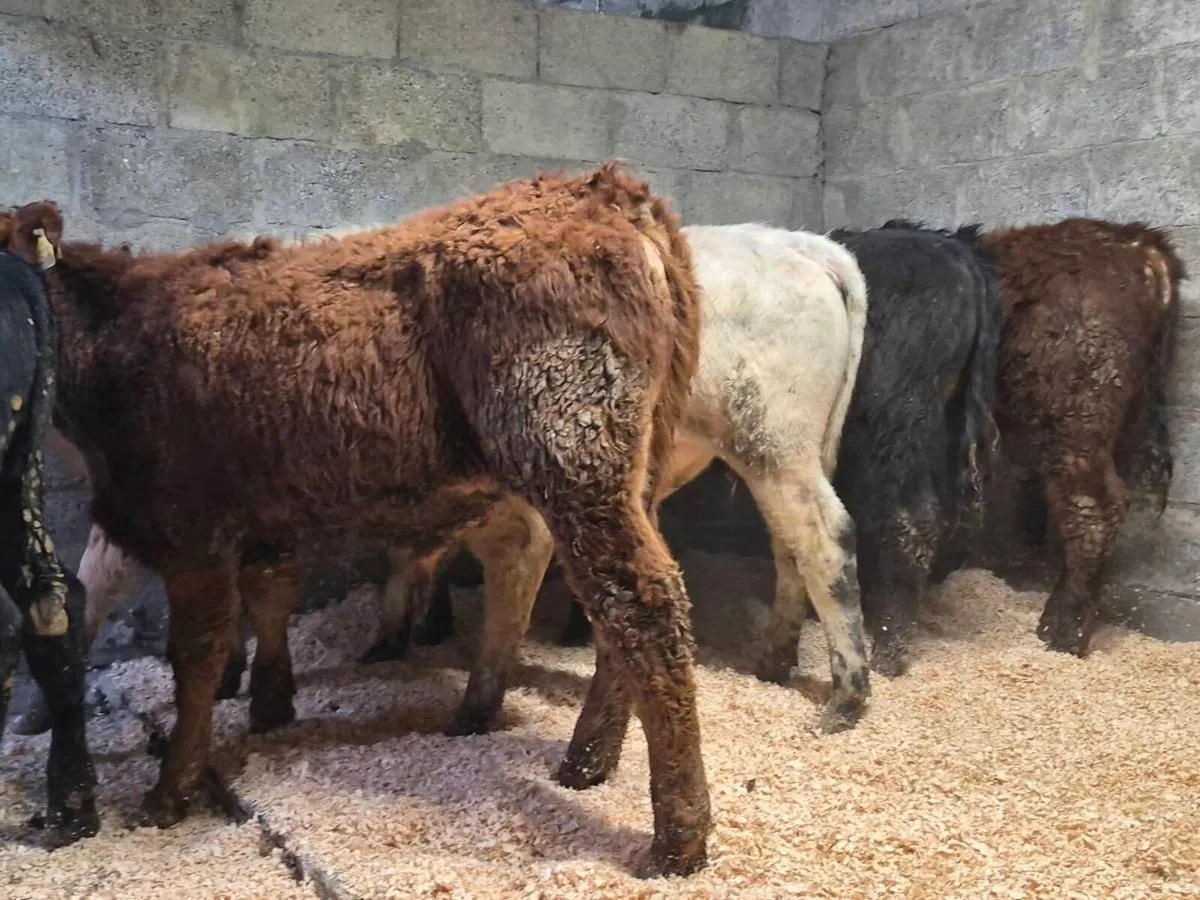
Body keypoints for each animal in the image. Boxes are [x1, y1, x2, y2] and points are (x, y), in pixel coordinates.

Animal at [8, 161, 712, 878]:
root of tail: (604, 188)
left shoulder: (190, 530)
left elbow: (196, 658)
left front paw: (170, 791)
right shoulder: (262, 518)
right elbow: (269, 596)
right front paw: (270, 705)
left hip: (571, 453)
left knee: (637, 602)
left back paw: (677, 837)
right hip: (637, 463)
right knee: (621, 608)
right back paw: (589, 762)